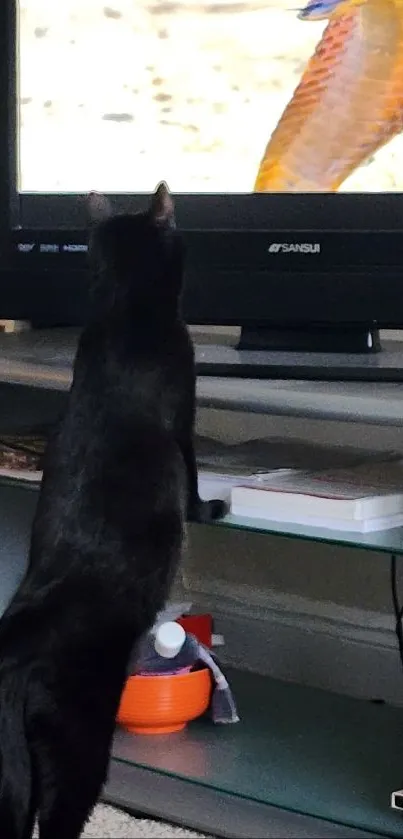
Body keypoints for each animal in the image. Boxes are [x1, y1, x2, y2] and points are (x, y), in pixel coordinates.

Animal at [0, 185, 227, 839]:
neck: (124, 312)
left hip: (9, 769)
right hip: (75, 744)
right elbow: (193, 477)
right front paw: (212, 507)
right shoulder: (184, 419)